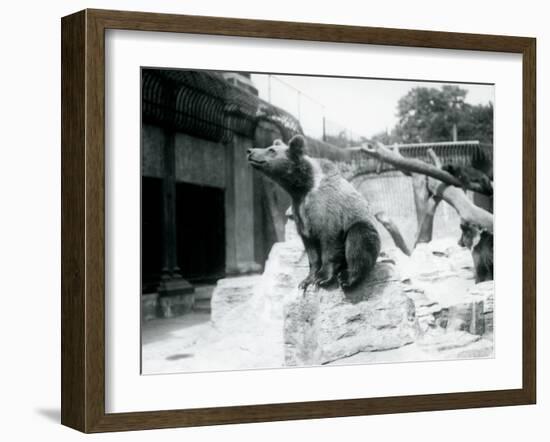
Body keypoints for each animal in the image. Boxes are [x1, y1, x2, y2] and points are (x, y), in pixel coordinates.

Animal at [248, 136, 382, 292]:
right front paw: (307, 280)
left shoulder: (326, 209)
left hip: (363, 226)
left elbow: (329, 241)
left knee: (359, 239)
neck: (302, 187)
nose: (250, 151)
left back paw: (347, 278)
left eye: (271, 150)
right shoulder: (300, 212)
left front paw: (322, 278)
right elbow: (311, 249)